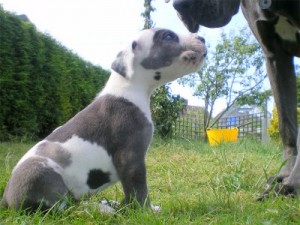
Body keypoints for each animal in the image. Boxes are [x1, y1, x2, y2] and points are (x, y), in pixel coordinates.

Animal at [1, 27, 206, 211]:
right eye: (168, 36)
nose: (202, 38)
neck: (128, 90)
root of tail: (5, 198)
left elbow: (129, 194)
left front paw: (130, 208)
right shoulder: (130, 159)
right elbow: (138, 190)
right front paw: (146, 211)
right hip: (41, 174)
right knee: (61, 209)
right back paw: (100, 209)